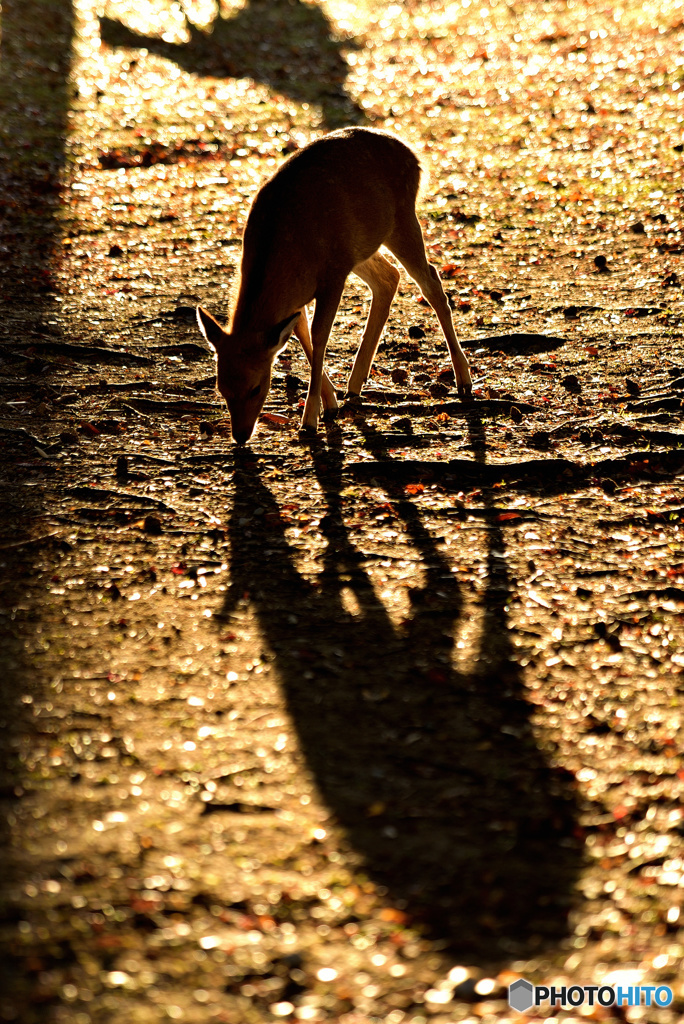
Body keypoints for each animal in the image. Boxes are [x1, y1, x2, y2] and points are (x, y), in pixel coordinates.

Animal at [194, 124, 473, 444]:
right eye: (221, 388)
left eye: (256, 387)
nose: (240, 436)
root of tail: (414, 155)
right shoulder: (300, 295)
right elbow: (303, 335)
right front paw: (330, 404)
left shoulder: (332, 275)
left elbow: (320, 335)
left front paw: (310, 420)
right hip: (361, 245)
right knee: (389, 278)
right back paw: (354, 385)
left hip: (400, 220)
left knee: (432, 283)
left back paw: (463, 379)